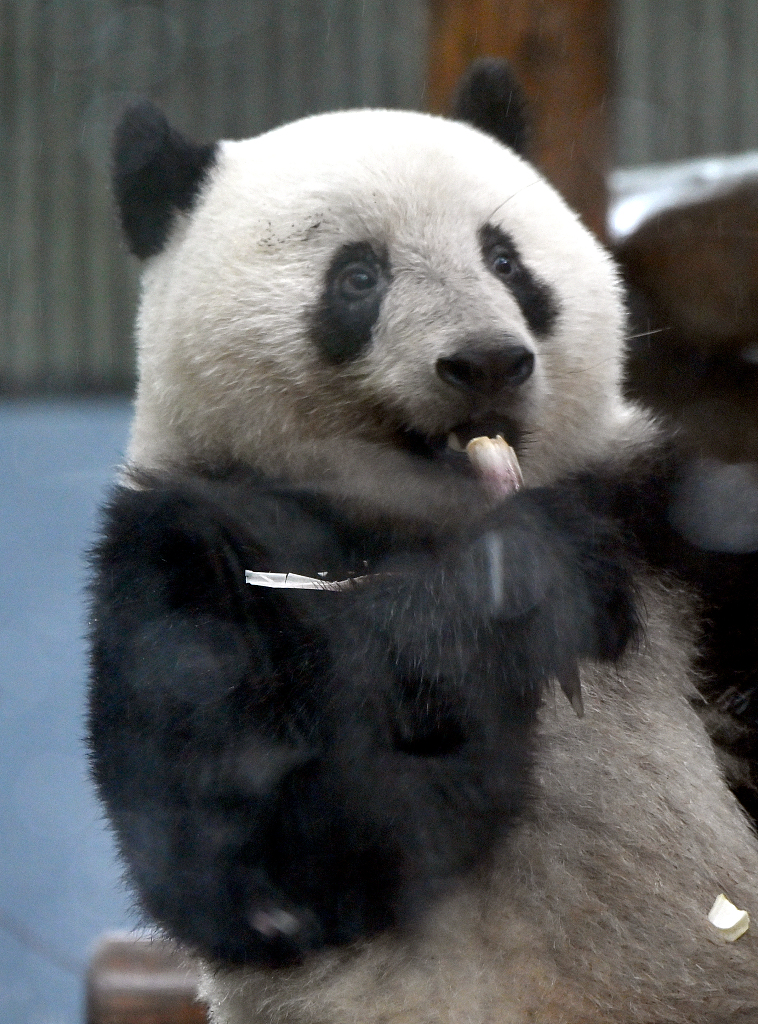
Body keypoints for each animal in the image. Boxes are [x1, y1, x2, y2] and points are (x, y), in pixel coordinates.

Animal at [86, 59, 758, 1019]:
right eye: (359, 277)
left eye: (505, 259)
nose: (487, 362)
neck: (424, 522)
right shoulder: (180, 555)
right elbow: (259, 850)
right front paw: (519, 580)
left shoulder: (660, 511)